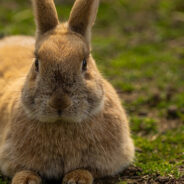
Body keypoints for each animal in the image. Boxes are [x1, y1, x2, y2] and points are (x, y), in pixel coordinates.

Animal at [0, 0, 134, 184]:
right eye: (36, 63)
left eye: (84, 63)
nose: (59, 102)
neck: (61, 123)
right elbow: (24, 169)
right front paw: (25, 180)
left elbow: (86, 169)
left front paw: (77, 179)